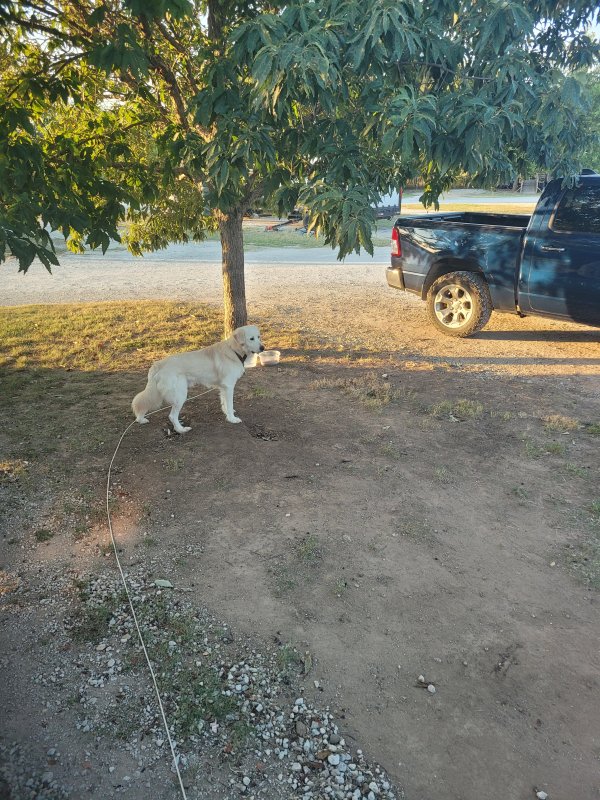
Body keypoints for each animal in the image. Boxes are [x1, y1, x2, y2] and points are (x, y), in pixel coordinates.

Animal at [132, 324, 264, 434]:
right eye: (251, 338)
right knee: (172, 416)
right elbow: (230, 404)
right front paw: (232, 419)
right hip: (180, 395)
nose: (263, 347)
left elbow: (225, 404)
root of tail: (159, 364)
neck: (234, 350)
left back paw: (141, 419)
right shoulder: (229, 386)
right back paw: (181, 429)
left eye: (258, 337)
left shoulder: (223, 388)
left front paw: (227, 413)